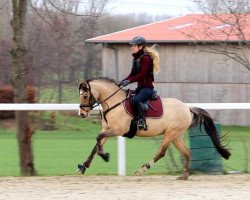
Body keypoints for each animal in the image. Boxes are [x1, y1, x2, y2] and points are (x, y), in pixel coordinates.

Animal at [77, 77, 231, 180]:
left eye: (85, 95)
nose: (82, 114)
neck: (114, 102)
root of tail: (187, 107)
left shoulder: (118, 130)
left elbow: (98, 140)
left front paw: (104, 155)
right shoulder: (107, 129)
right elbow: (96, 144)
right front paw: (83, 167)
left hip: (170, 133)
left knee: (161, 152)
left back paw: (142, 169)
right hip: (176, 136)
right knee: (187, 153)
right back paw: (184, 176)